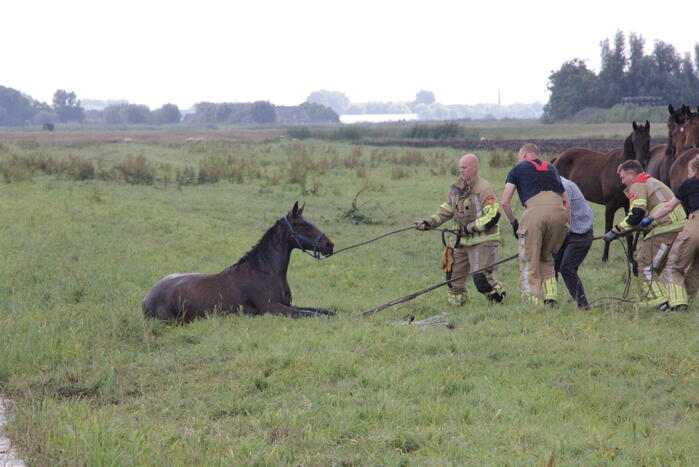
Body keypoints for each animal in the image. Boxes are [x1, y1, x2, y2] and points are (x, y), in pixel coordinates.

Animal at [143, 202, 335, 323]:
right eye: (304, 225)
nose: (330, 245)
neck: (263, 272)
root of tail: (147, 297)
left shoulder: (287, 304)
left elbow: (322, 310)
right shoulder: (273, 309)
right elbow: (309, 314)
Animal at [553, 120, 651, 262]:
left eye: (648, 140)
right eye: (634, 140)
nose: (641, 162)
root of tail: (558, 157)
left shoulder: (628, 205)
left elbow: (629, 232)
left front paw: (631, 259)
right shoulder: (610, 206)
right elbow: (607, 229)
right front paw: (604, 258)